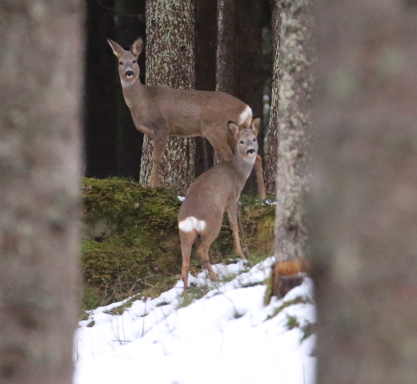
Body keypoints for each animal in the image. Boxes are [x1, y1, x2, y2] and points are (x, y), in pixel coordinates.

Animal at [107, 36, 266, 200]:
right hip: (235, 133)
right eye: (120, 62)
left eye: (134, 61)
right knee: (256, 158)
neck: (142, 101)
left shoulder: (162, 125)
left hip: (215, 131)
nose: (129, 72)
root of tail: (246, 109)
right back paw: (262, 196)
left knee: (229, 158)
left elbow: (156, 156)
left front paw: (152, 185)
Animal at [178, 118, 260, 290]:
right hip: (213, 223)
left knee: (185, 264)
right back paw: (215, 277)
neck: (237, 172)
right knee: (201, 250)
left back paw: (186, 292)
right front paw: (241, 254)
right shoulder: (231, 197)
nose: (250, 150)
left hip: (185, 233)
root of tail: (190, 218)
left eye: (254, 139)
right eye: (241, 141)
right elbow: (234, 224)